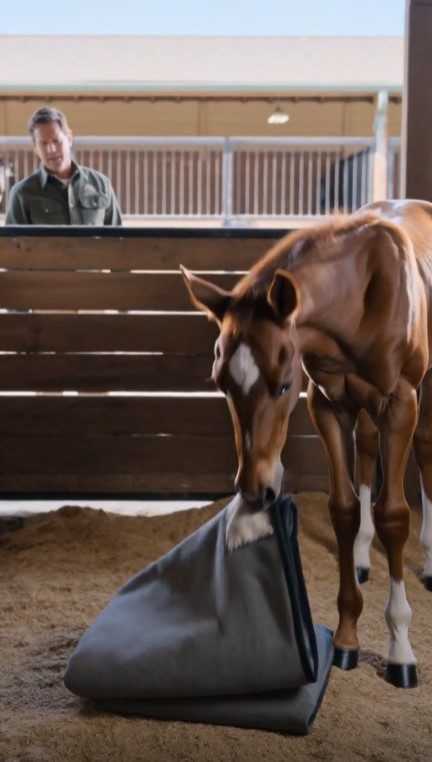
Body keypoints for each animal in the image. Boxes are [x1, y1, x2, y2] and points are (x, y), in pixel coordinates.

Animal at [180, 198, 432, 689]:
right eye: (220, 383)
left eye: (283, 385)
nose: (254, 490)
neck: (359, 298)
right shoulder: (328, 405)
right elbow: (344, 508)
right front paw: (347, 638)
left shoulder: (400, 404)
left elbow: (394, 515)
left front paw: (400, 650)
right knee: (367, 450)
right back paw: (362, 557)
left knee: (426, 451)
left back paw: (430, 564)